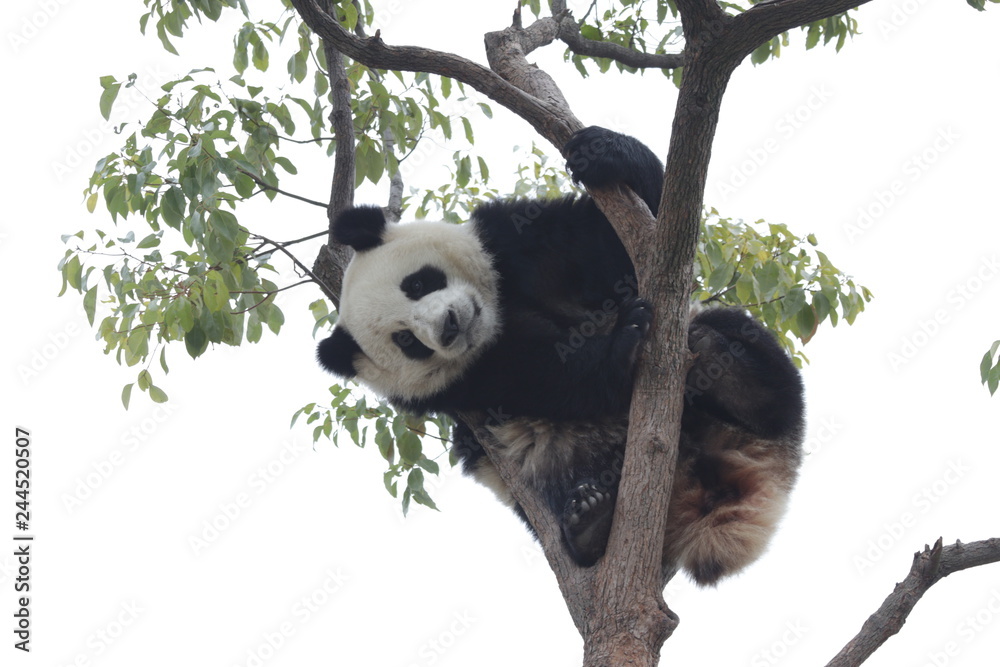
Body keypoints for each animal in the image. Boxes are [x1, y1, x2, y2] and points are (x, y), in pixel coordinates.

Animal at [317, 126, 804, 586]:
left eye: (418, 284)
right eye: (407, 341)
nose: (450, 325)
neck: (498, 313)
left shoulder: (512, 242)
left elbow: (641, 238)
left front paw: (605, 152)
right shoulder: (470, 380)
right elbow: (554, 381)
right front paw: (620, 347)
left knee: (748, 359)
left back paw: (732, 374)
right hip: (539, 468)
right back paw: (591, 521)